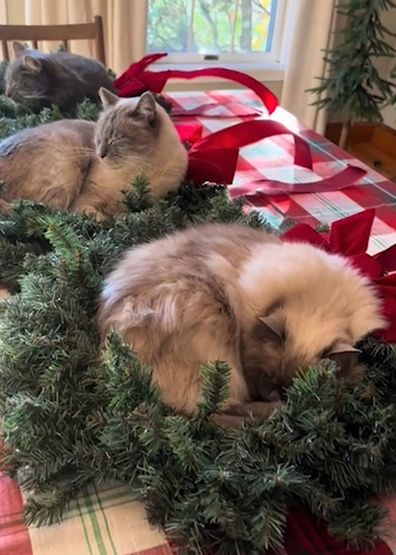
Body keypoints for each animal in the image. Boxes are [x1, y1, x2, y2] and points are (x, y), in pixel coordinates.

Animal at [0, 89, 188, 217]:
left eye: (115, 139)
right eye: (98, 138)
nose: (100, 155)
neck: (138, 174)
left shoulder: (156, 201)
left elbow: (140, 212)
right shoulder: (86, 199)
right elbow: (91, 214)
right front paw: (109, 219)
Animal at [97, 222, 386, 422]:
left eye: (296, 388)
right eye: (270, 377)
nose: (281, 397)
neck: (320, 296)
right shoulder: (248, 366)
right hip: (221, 358)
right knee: (214, 415)